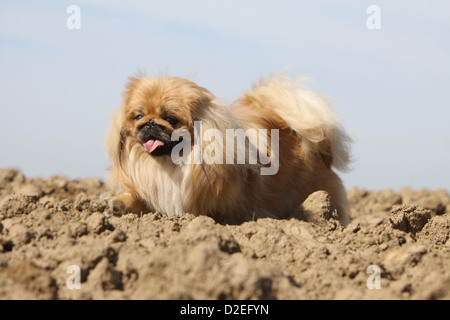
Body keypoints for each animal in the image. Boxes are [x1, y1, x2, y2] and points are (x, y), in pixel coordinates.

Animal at [105, 72, 352, 225]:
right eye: (138, 116)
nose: (150, 124)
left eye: (170, 119)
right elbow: (137, 200)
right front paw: (116, 203)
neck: (172, 166)